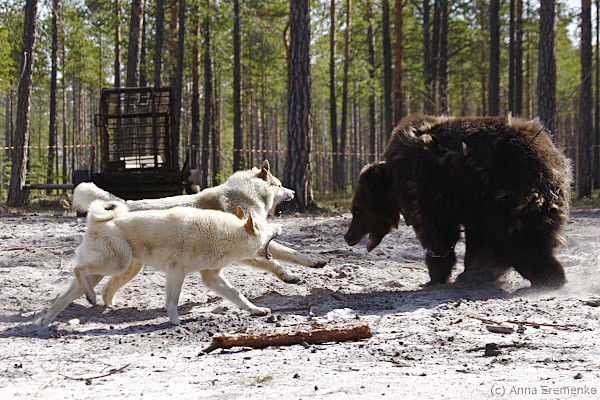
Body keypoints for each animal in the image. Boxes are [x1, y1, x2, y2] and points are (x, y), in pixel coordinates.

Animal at [40, 201, 282, 327]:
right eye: (266, 226)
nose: (280, 227)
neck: (225, 234)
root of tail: (95, 221)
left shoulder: (211, 277)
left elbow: (238, 296)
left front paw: (256, 310)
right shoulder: (176, 271)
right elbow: (173, 301)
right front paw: (175, 321)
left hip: (110, 270)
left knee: (63, 296)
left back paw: (45, 322)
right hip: (116, 264)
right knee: (78, 269)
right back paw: (89, 298)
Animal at [72, 160, 326, 305]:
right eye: (281, 185)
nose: (294, 191)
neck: (246, 195)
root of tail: (124, 204)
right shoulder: (253, 248)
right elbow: (284, 256)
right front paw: (301, 269)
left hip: (127, 266)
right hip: (118, 262)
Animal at [344, 114, 572, 289]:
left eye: (357, 211)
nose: (347, 237)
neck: (395, 180)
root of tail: (556, 162)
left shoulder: (426, 189)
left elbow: (438, 235)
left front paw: (435, 277)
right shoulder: (468, 202)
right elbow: (475, 239)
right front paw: (472, 272)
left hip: (510, 194)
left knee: (517, 240)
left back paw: (547, 279)